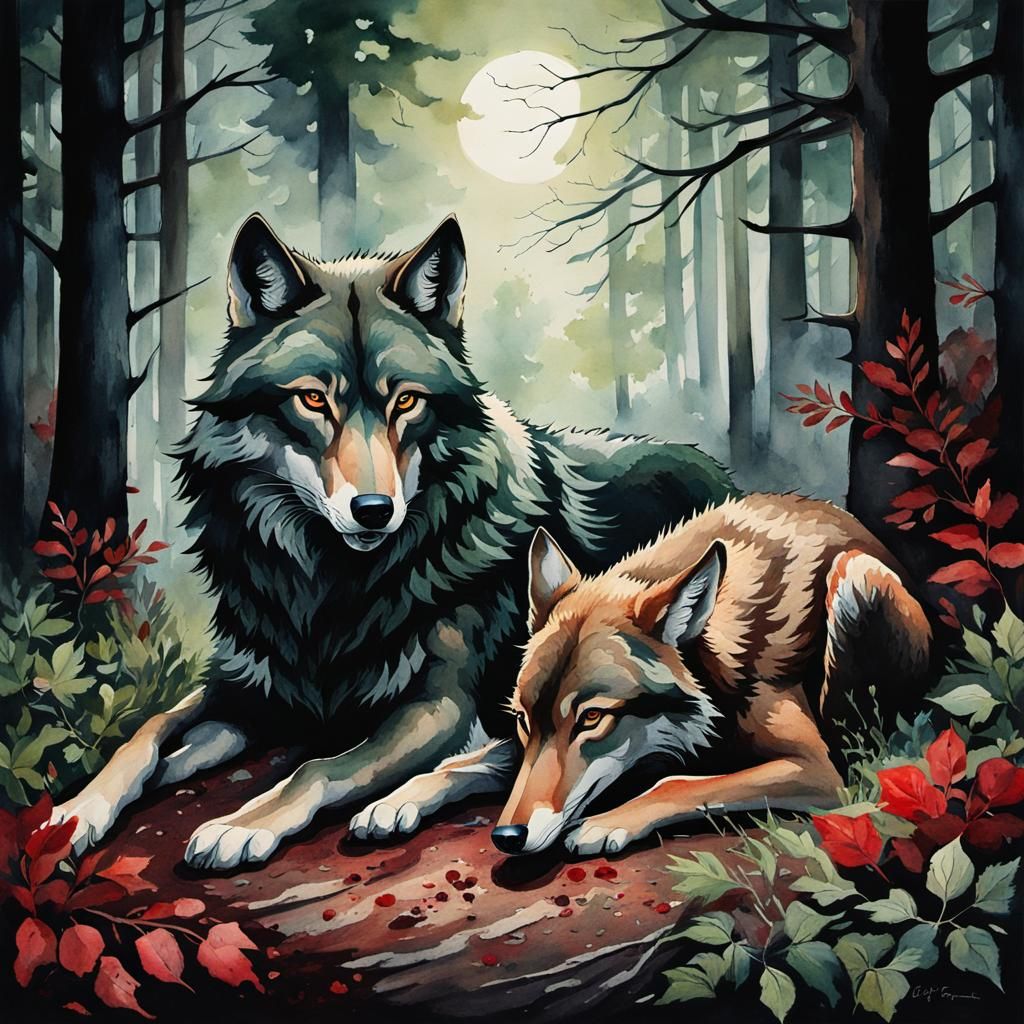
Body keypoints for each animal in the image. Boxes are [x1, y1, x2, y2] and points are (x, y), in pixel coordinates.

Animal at [50, 213, 733, 868]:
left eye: (405, 400)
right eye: (312, 399)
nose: (375, 511)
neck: (324, 591)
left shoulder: (439, 708)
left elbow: (316, 767)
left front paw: (239, 825)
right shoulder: (247, 687)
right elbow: (144, 737)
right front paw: (74, 811)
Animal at [355, 493, 932, 857]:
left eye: (591, 720)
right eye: (522, 719)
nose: (507, 837)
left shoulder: (816, 768)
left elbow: (676, 782)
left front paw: (605, 822)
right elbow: (461, 763)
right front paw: (393, 802)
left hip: (856, 577)